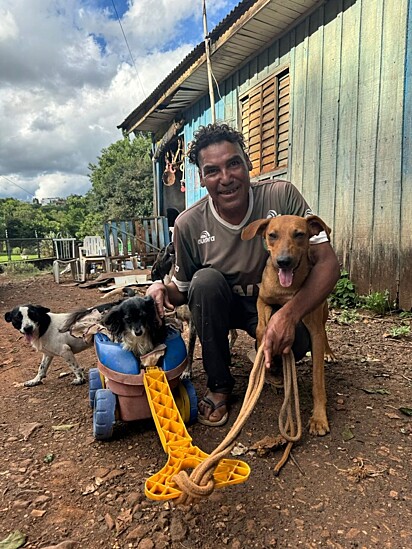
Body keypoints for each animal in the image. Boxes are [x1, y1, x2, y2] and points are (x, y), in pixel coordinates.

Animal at [241, 215, 334, 436]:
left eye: (299, 234)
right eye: (272, 235)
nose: (283, 261)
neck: (286, 290)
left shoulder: (314, 331)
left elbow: (318, 382)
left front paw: (319, 418)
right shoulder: (263, 300)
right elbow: (261, 327)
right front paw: (264, 342)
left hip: (323, 310)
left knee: (325, 331)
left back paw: (328, 352)